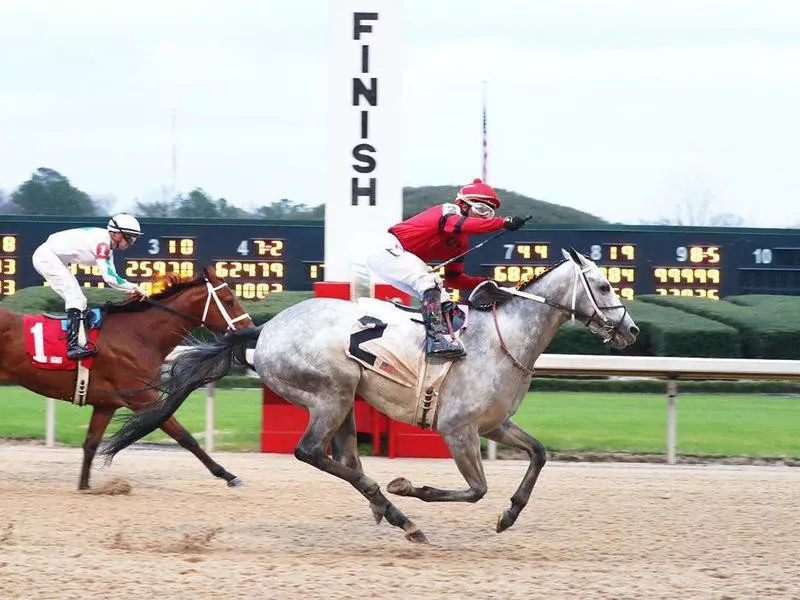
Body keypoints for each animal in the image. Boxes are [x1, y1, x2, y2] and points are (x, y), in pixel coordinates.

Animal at [0, 268, 253, 488]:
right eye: (229, 301)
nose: (250, 329)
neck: (137, 334)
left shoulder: (106, 404)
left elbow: (90, 444)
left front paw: (84, 486)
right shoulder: (143, 398)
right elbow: (184, 436)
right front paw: (228, 475)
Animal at [103, 248, 636, 544]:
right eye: (604, 284)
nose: (630, 330)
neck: (502, 339)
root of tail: (262, 332)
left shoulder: (495, 425)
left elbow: (540, 454)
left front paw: (510, 514)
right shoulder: (457, 430)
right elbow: (475, 489)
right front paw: (409, 487)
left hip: (345, 400)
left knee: (346, 460)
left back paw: (389, 512)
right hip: (329, 394)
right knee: (310, 452)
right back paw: (396, 508)